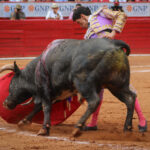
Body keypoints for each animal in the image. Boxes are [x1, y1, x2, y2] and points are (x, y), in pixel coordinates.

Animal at [1, 38, 136, 137]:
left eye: (11, 84)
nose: (5, 103)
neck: (37, 69)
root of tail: (113, 44)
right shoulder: (55, 94)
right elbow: (38, 107)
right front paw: (23, 122)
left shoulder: (45, 88)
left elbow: (45, 107)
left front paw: (44, 129)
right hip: (117, 85)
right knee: (131, 98)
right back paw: (127, 128)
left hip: (84, 83)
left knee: (94, 101)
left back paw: (78, 128)